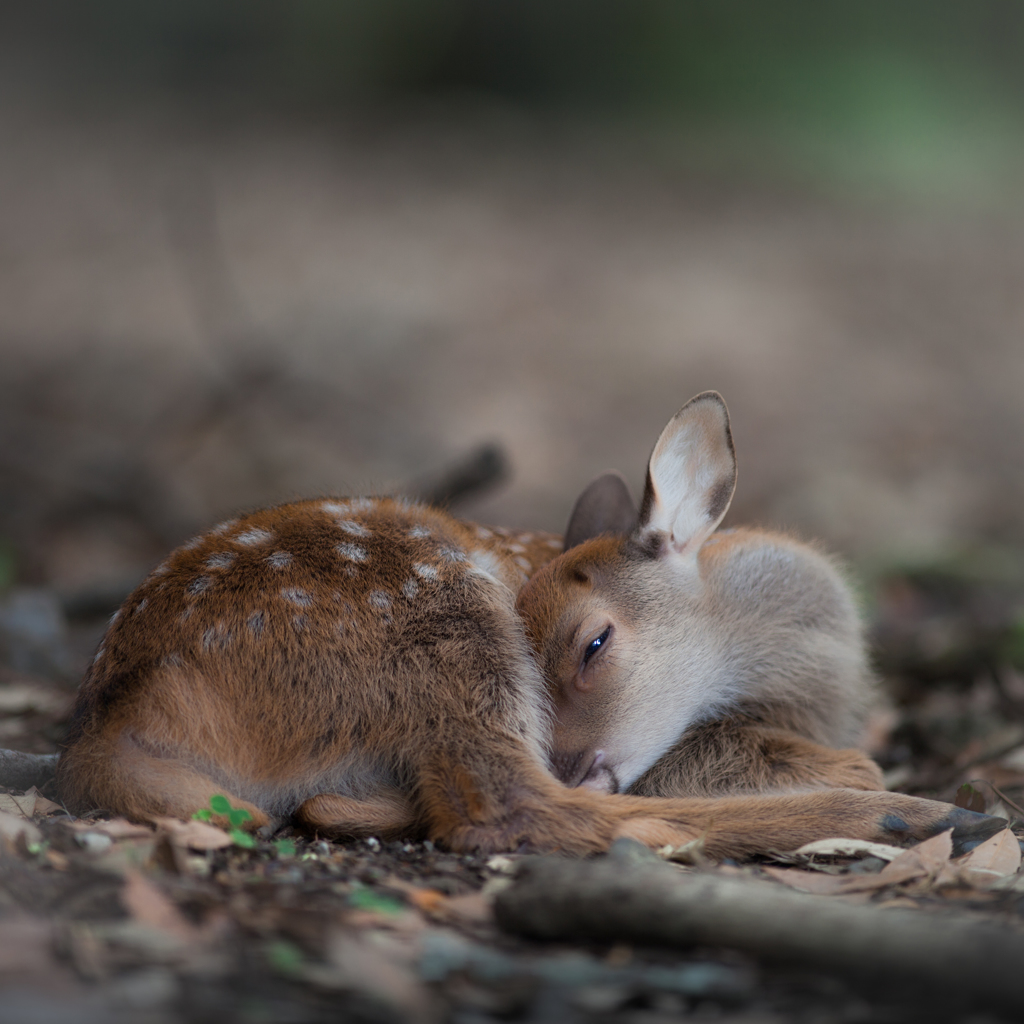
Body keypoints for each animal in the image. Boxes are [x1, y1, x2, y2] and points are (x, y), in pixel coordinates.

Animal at [54, 397, 999, 856]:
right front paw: (869, 781)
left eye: (593, 645)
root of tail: (113, 717)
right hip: (433, 628)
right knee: (508, 807)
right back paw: (911, 818)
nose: (574, 756)